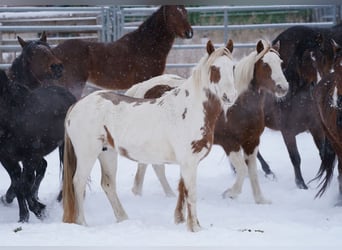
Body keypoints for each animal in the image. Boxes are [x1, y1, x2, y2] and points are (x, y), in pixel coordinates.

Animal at [0, 69, 76, 222]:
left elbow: (23, 186)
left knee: (66, 171)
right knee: (42, 168)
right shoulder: (7, 160)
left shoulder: (30, 157)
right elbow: (19, 185)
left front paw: (38, 211)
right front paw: (24, 215)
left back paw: (60, 199)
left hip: (64, 147)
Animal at [62, 39, 238, 232]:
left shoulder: (186, 163)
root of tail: (76, 106)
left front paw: (184, 222)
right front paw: (195, 228)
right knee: (78, 183)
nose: (230, 97)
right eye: (214, 68)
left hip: (107, 153)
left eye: (233, 67)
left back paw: (123, 219)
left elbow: (182, 191)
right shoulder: (189, 162)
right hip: (87, 154)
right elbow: (191, 194)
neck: (191, 109)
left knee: (108, 184)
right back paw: (82, 223)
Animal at [126, 39, 288, 203]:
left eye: (280, 63)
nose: (283, 87)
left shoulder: (251, 142)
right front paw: (230, 193)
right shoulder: (230, 143)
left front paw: (260, 200)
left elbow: (252, 171)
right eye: (265, 64)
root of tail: (142, 87)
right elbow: (242, 169)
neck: (238, 106)